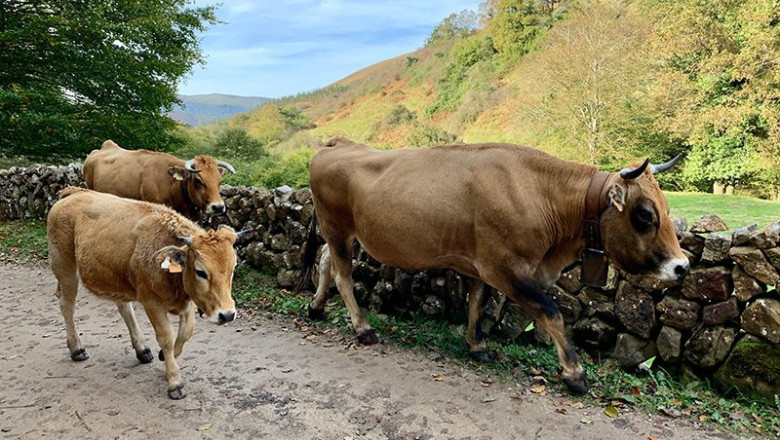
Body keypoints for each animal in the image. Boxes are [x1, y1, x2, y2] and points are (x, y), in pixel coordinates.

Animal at [47, 187, 242, 399]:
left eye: (233, 267)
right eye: (200, 272)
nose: (227, 315)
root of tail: (73, 192)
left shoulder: (188, 302)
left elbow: (186, 332)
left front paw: (165, 357)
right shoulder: (152, 303)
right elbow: (166, 337)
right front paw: (174, 382)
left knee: (124, 308)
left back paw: (142, 349)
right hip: (65, 269)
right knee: (67, 305)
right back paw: (77, 348)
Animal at [299, 137, 689, 393]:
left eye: (667, 209)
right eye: (644, 215)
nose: (682, 266)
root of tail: (339, 143)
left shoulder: (482, 265)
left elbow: (477, 303)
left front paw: (477, 346)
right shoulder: (508, 268)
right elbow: (551, 313)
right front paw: (574, 373)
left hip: (343, 234)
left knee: (325, 263)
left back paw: (316, 307)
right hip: (337, 228)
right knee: (343, 275)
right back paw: (362, 327)